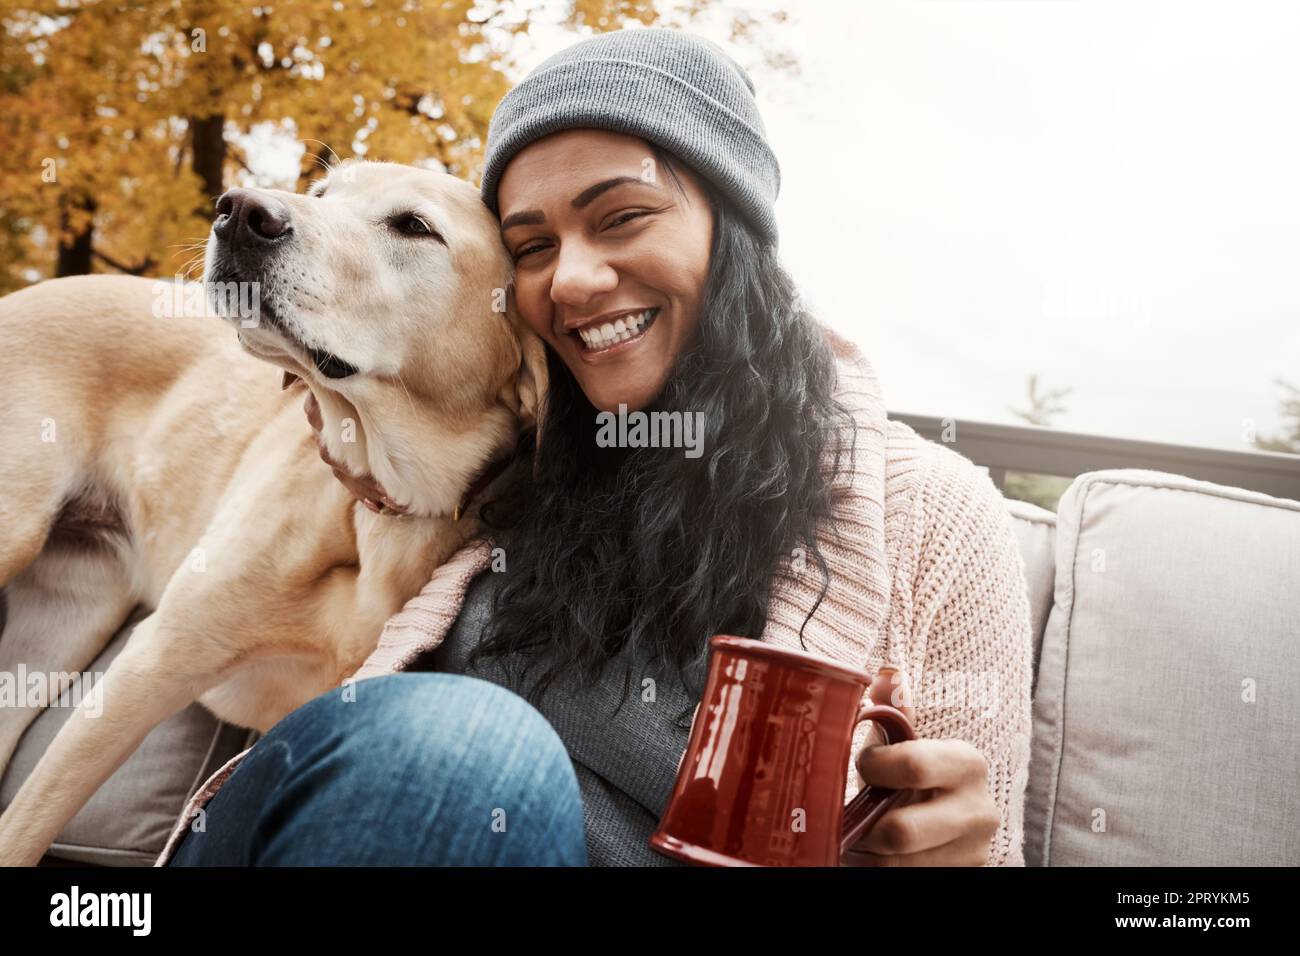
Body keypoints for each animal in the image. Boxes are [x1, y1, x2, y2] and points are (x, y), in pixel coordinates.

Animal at [0, 158, 543, 868]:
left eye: (414, 226)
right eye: (322, 193)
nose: (238, 210)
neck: (379, 508)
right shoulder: (153, 664)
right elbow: (25, 826)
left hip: (61, 629)